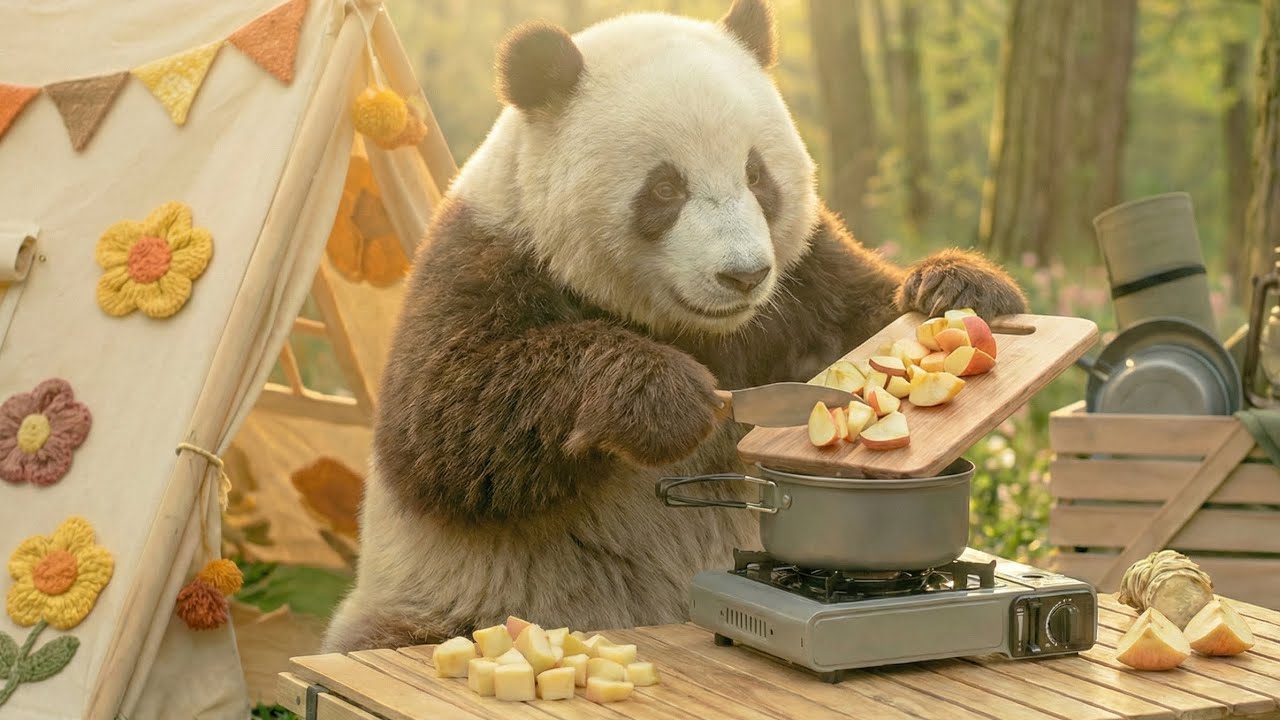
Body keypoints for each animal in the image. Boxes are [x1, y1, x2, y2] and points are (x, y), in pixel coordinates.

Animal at [320, 0, 1027, 653]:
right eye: (665, 188)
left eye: (756, 174)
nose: (744, 275)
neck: (690, 326)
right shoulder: (486, 259)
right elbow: (444, 427)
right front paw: (664, 398)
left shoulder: (800, 284)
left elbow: (857, 314)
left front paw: (959, 289)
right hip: (442, 602)